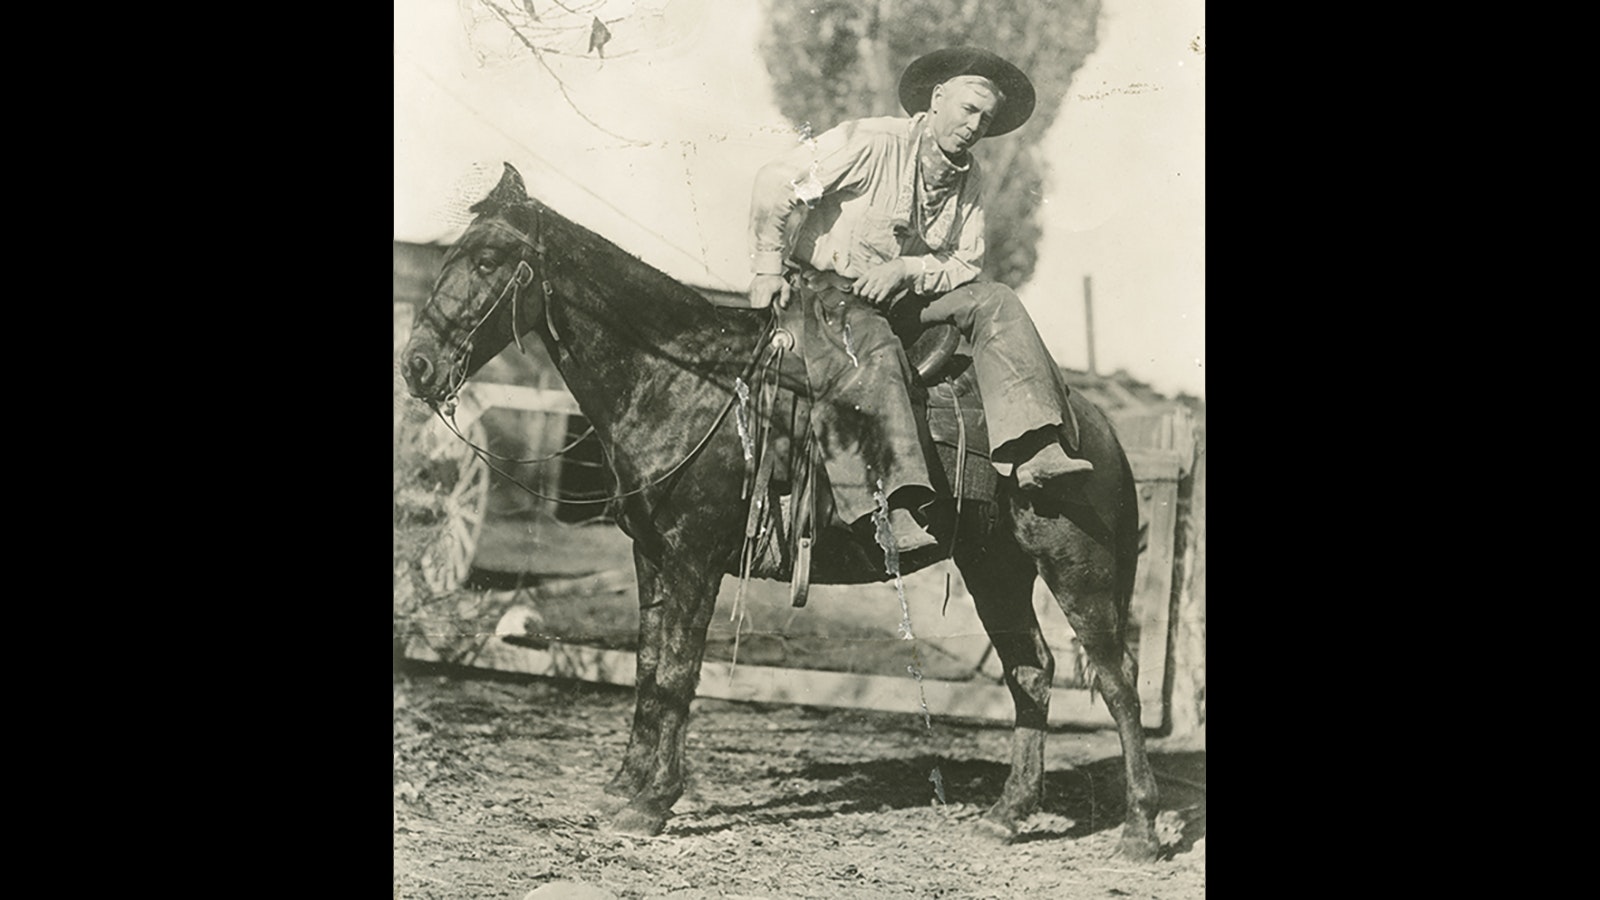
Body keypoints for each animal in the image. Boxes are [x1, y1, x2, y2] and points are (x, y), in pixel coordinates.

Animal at [393, 160, 1158, 851]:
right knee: (1033, 673)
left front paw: (652, 804)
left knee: (1116, 680)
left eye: (488, 259)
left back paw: (1141, 832)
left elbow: (677, 674)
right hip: (995, 568)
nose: (417, 366)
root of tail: (1094, 425)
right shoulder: (652, 558)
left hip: (1076, 568)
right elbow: (647, 671)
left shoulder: (695, 559)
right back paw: (1008, 816)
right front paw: (625, 786)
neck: (680, 383)